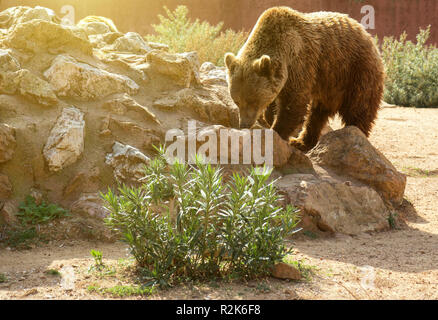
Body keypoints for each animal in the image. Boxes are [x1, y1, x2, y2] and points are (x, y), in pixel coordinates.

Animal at [226, 6, 384, 152]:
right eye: (237, 101)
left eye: (253, 100)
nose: (244, 124)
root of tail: (368, 36)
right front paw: (269, 117)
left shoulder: (299, 63)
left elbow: (294, 103)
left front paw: (276, 132)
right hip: (329, 84)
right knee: (317, 113)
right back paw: (302, 141)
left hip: (356, 71)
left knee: (359, 108)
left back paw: (356, 133)